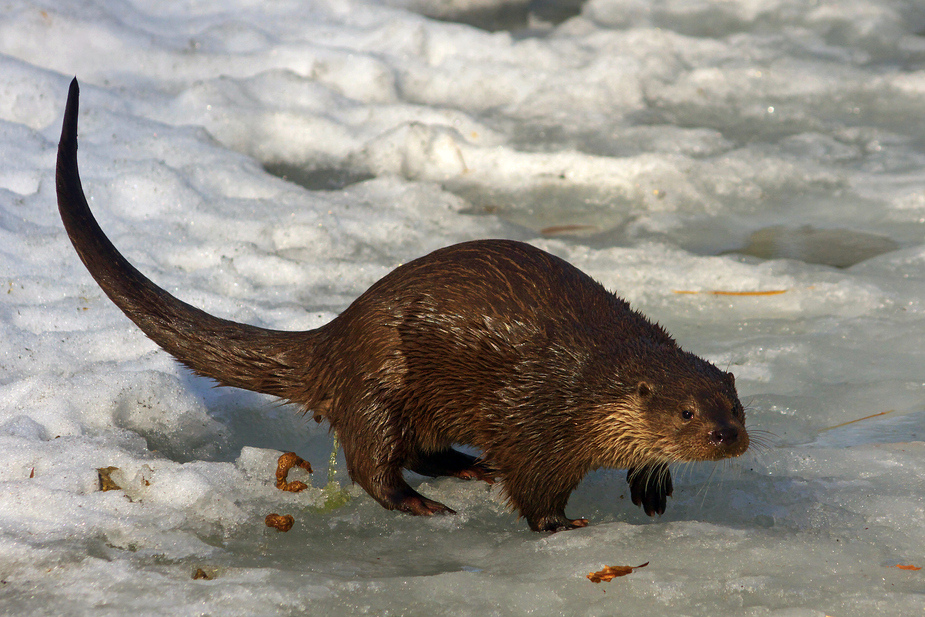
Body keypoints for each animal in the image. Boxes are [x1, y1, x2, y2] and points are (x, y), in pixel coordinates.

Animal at [54, 78, 748, 528]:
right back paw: (424, 502)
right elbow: (531, 485)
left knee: (421, 449)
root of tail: (336, 335)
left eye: (735, 408)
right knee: (373, 462)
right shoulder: (535, 421)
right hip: (381, 380)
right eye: (687, 413)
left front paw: (652, 487)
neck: (585, 387)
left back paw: (467, 469)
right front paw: (561, 526)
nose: (727, 437)